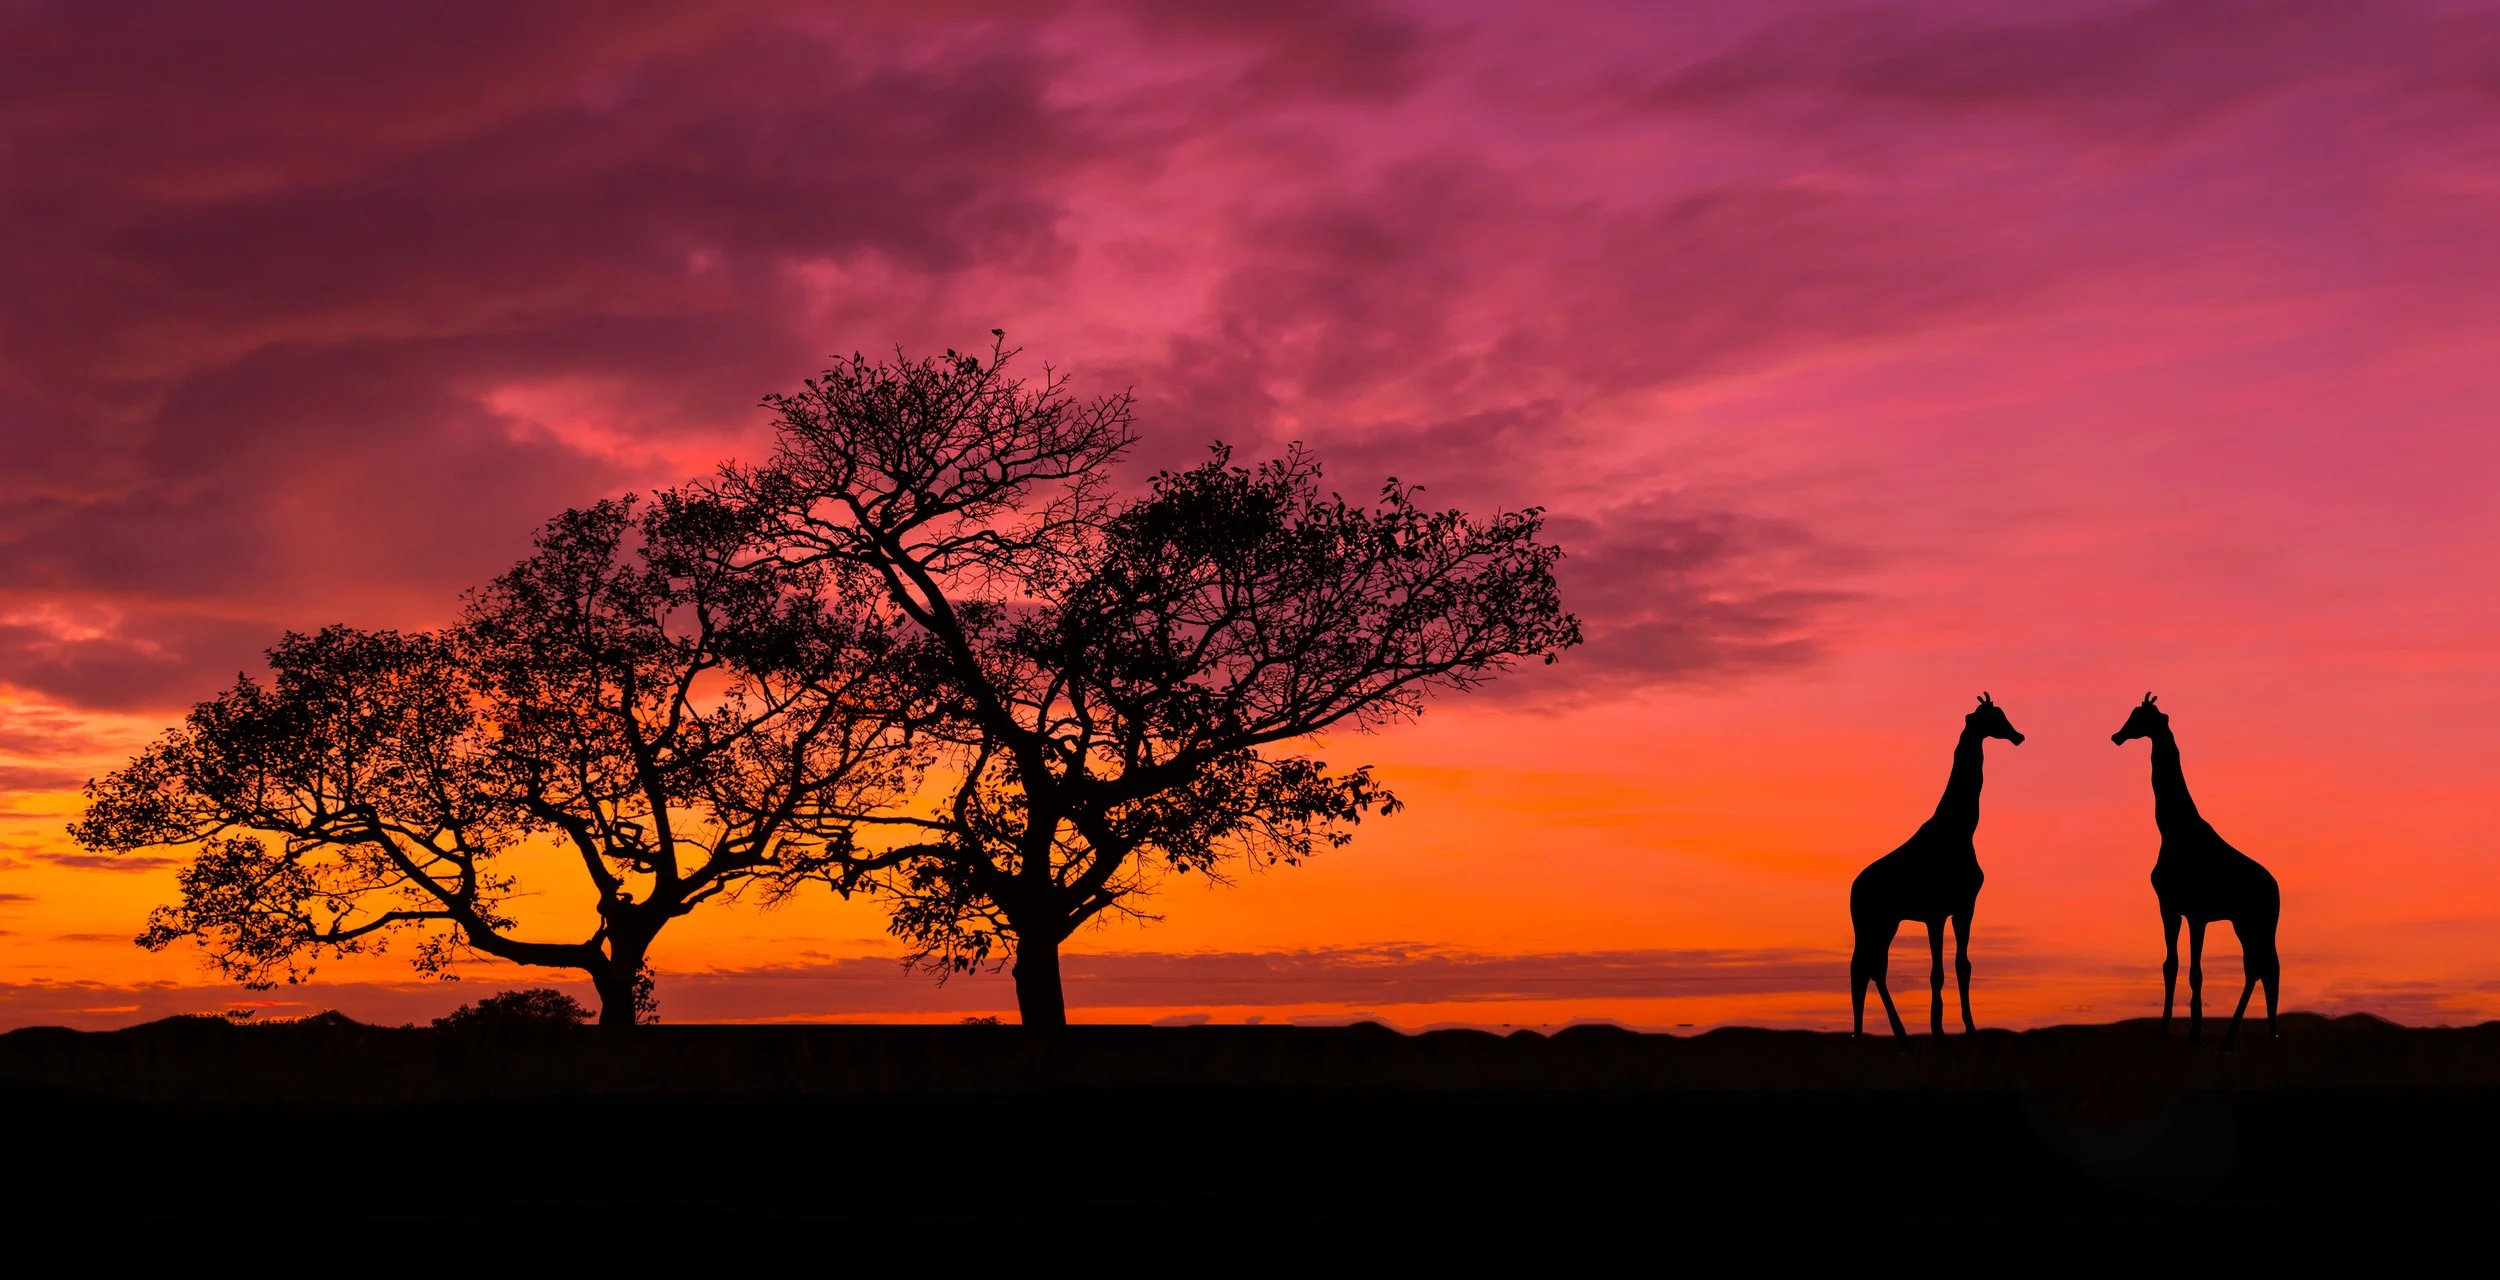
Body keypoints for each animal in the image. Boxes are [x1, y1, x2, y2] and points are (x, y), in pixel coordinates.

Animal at [1850, 693, 2024, 1038]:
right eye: (1993, 718)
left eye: (2003, 715)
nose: (2018, 736)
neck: (1962, 830)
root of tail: (1852, 889)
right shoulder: (1935, 914)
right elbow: (1936, 972)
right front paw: (1937, 1029)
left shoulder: (1964, 907)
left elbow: (1963, 965)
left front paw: (1969, 1027)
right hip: (1871, 922)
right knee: (1864, 968)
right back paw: (1881, 1035)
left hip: (1886, 922)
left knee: (1871, 968)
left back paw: (1889, 1035)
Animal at [2113, 693, 2280, 1049]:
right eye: (2131, 716)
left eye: (2141, 718)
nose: (2116, 736)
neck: (2172, 830)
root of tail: (2276, 889)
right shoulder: (2168, 908)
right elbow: (2170, 965)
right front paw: (2163, 1028)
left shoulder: (2197, 914)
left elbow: (2196, 972)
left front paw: (2194, 1032)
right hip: (2245, 923)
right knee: (2260, 968)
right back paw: (2245, 1036)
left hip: (2257, 922)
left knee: (2262, 968)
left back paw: (2246, 1037)